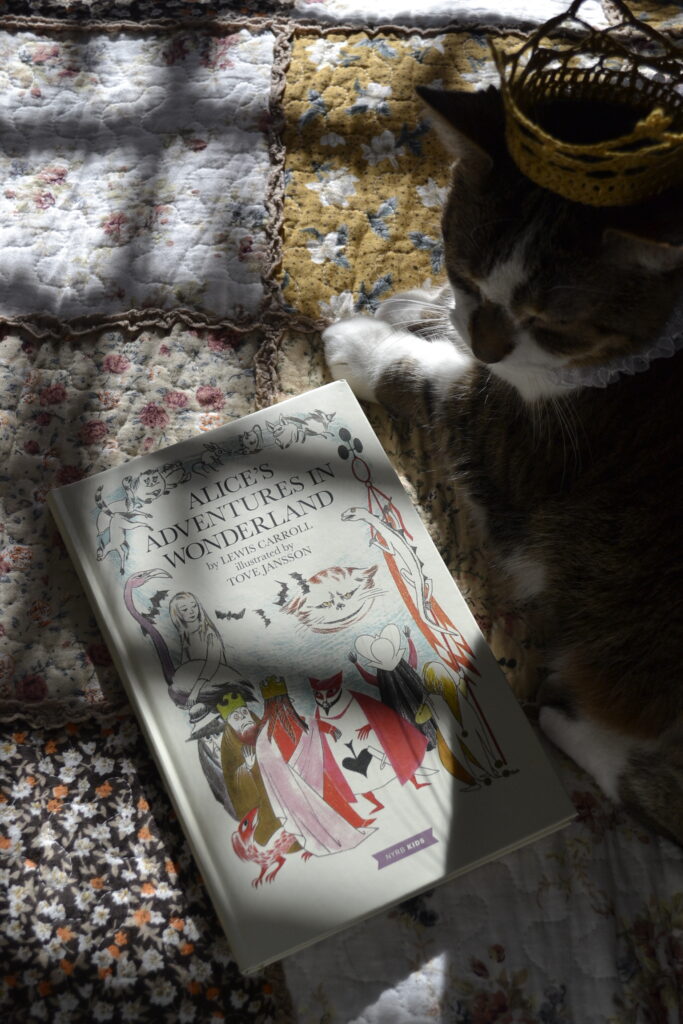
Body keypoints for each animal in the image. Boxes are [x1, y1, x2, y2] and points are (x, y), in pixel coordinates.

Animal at [323, 86, 683, 839]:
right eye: (464, 273)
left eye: (554, 323)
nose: (488, 349)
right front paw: (418, 307)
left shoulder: (521, 445)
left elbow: (436, 383)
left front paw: (363, 343)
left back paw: (561, 720)